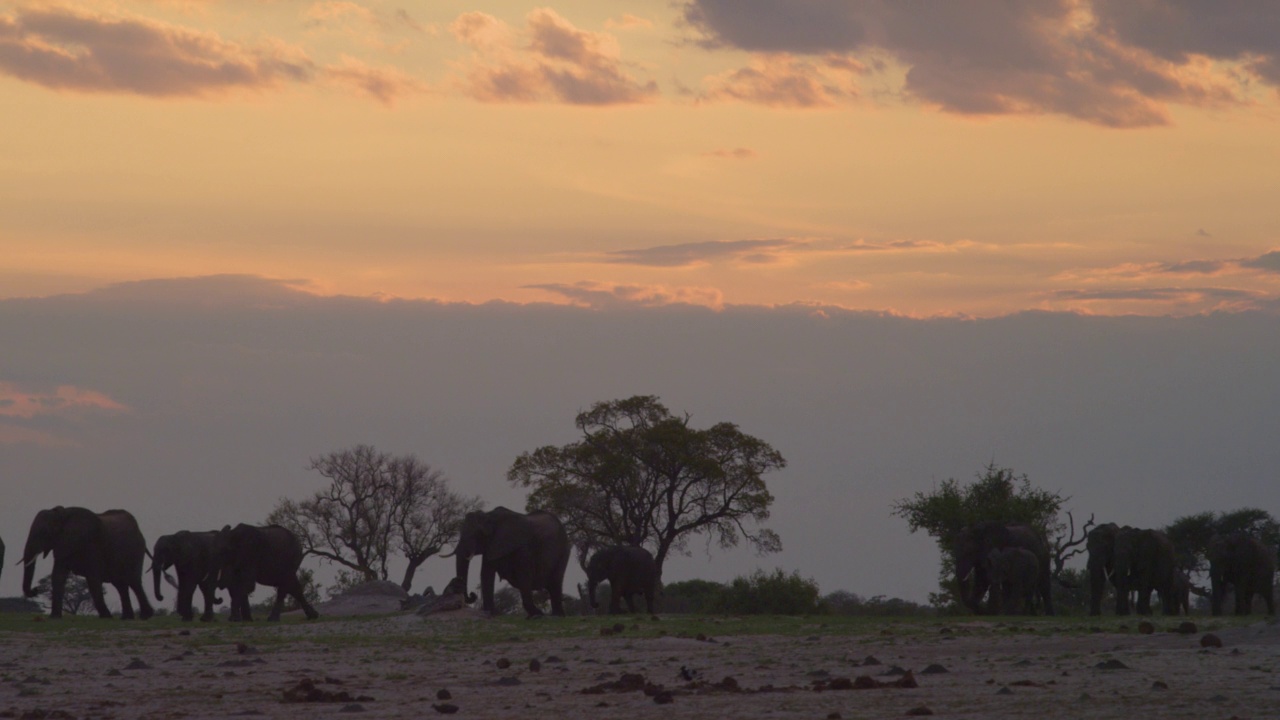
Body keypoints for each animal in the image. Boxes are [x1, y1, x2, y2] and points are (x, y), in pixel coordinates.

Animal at [21, 504, 153, 617]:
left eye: (44, 532)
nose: (36, 590)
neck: (63, 514)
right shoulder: (64, 544)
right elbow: (58, 577)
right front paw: (54, 618)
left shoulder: (91, 545)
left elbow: (93, 579)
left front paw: (107, 617)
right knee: (120, 584)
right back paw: (127, 618)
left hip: (136, 551)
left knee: (133, 581)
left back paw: (145, 616)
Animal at [445, 504, 576, 617]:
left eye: (478, 534)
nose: (472, 595)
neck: (490, 516)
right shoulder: (492, 545)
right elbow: (486, 574)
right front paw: (489, 614)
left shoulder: (523, 547)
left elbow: (524, 575)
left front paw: (537, 615)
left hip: (563, 550)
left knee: (556, 581)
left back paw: (557, 616)